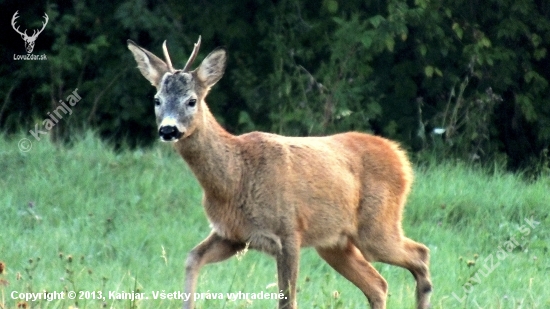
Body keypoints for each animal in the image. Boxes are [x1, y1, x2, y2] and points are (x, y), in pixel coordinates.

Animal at [127, 36, 434, 308]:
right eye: (157, 99)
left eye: (191, 100)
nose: (168, 130)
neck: (235, 176)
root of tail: (399, 156)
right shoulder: (232, 234)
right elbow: (192, 259)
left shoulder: (289, 231)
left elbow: (288, 299)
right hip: (335, 243)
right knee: (378, 284)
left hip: (377, 227)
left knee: (421, 253)